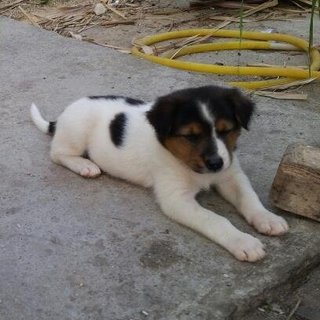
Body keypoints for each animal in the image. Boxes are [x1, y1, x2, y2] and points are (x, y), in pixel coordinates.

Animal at [31, 85, 288, 262]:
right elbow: (216, 219)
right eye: (190, 136)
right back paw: (85, 166)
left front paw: (267, 218)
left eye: (226, 131)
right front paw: (243, 241)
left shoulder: (231, 175)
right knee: (57, 153)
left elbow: (249, 198)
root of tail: (62, 116)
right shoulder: (177, 200)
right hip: (76, 133)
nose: (215, 163)